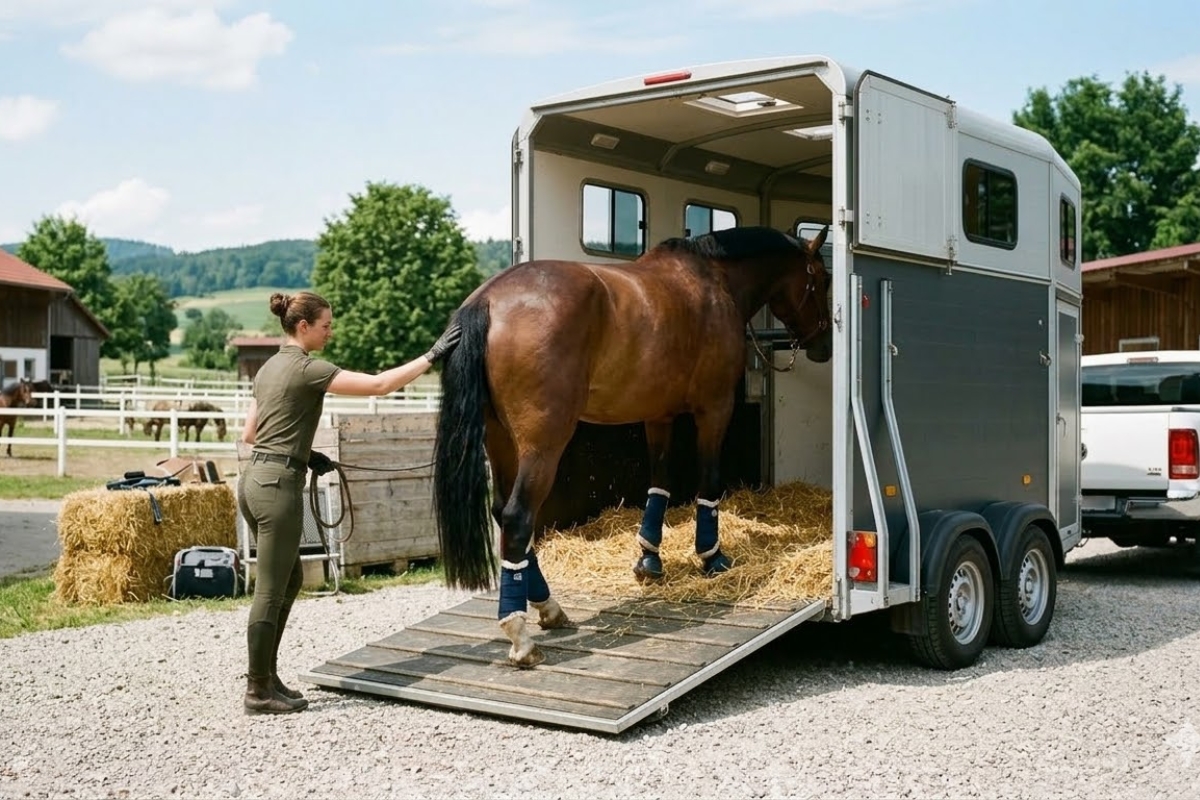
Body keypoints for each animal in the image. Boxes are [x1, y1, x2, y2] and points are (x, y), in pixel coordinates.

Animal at [431, 224, 832, 666]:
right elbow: (708, 483)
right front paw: (711, 556)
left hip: (500, 441)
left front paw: (649, 558)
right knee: (518, 518)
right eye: (824, 279)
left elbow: (659, 483)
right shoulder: (715, 408)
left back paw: (549, 608)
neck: (713, 279)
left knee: (503, 514)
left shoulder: (658, 415)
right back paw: (520, 634)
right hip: (541, 445)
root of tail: (488, 300)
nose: (824, 345)